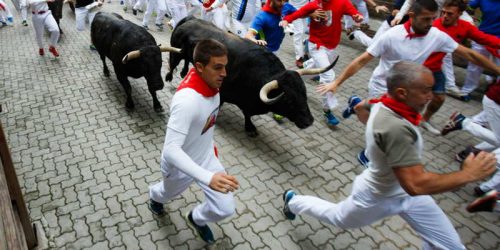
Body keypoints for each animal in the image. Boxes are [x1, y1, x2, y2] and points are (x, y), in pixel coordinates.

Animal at [167, 16, 336, 137]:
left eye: (304, 93)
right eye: (288, 99)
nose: (309, 121)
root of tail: (190, 19)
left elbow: (247, 114)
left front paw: (250, 127)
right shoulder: (224, 92)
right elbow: (225, 106)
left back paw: (183, 72)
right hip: (175, 52)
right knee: (172, 63)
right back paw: (169, 77)